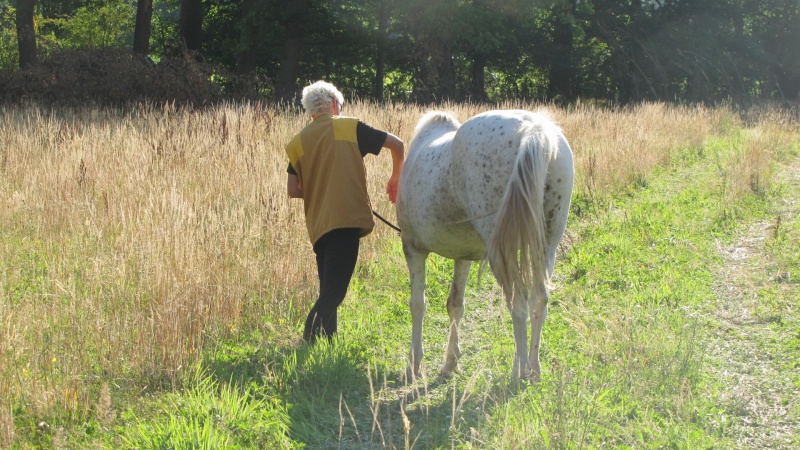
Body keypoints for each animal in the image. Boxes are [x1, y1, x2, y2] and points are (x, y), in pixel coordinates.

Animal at [396, 110, 572, 380]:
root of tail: (534, 131)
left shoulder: (413, 248)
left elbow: (418, 304)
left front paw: (414, 365)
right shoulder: (463, 256)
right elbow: (455, 304)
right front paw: (450, 362)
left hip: (502, 254)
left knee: (518, 302)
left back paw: (519, 369)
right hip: (546, 249)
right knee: (539, 300)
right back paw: (534, 369)